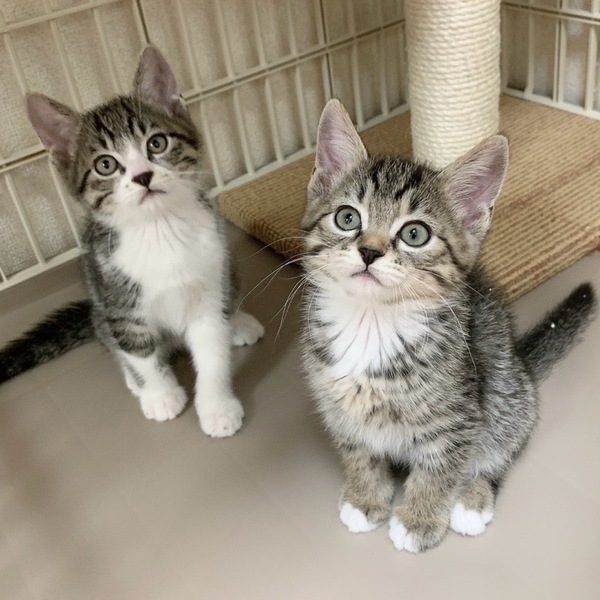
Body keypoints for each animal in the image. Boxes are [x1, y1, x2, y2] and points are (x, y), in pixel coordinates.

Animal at [0, 47, 264, 438]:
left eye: (157, 143)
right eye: (106, 165)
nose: (142, 176)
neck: (160, 230)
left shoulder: (207, 291)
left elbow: (213, 352)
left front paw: (217, 407)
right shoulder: (119, 301)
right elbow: (140, 352)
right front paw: (161, 395)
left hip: (225, 268)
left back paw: (240, 323)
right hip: (99, 305)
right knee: (112, 340)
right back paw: (134, 381)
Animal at [300, 99, 596, 552]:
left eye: (414, 234)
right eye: (347, 218)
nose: (369, 251)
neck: (372, 322)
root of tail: (523, 364)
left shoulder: (459, 416)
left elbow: (440, 467)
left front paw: (418, 520)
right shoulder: (339, 409)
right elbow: (358, 452)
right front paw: (365, 499)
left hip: (505, 393)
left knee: (501, 447)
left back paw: (473, 499)